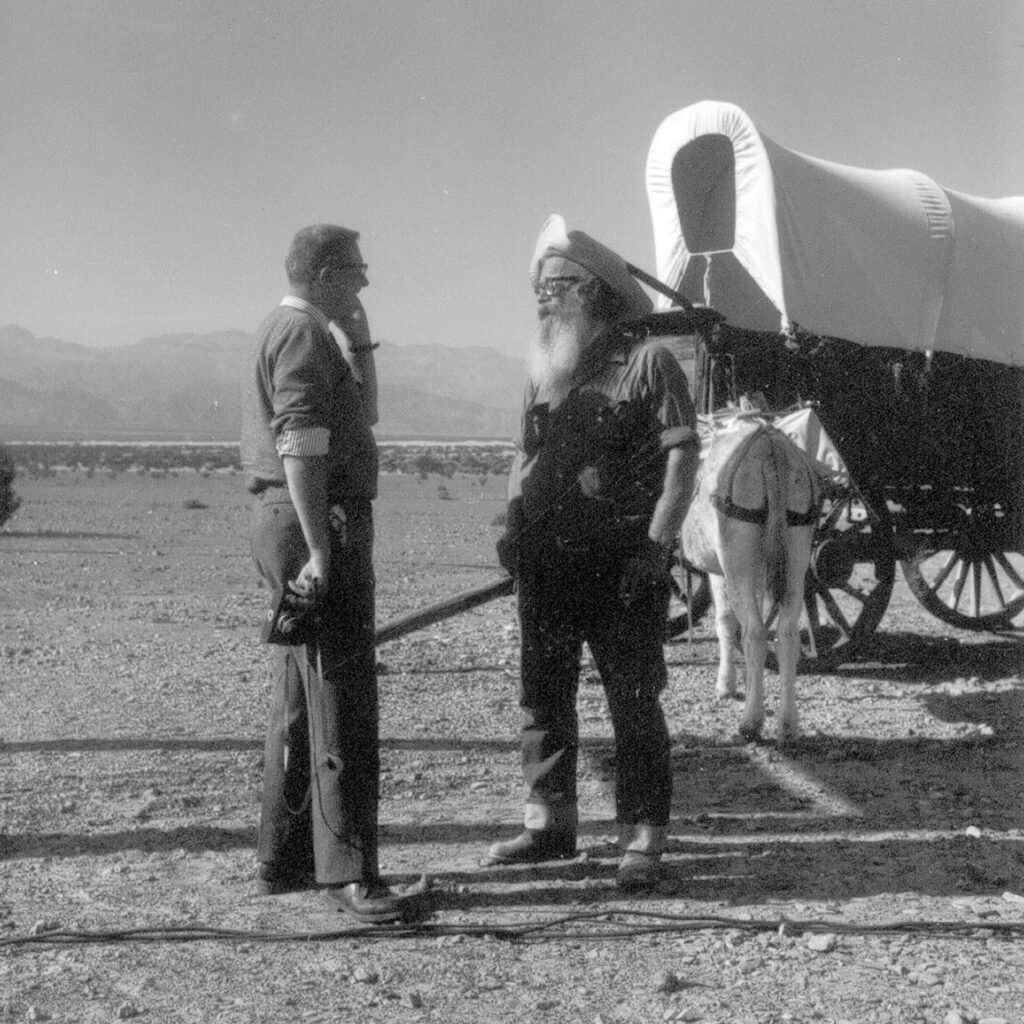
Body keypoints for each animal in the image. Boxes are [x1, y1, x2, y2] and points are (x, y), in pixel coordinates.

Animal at [679, 411, 823, 741]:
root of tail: (770, 446)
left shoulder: (722, 573)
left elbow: (725, 623)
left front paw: (727, 684)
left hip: (739, 564)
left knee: (755, 633)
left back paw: (751, 721)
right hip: (796, 556)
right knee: (786, 635)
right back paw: (788, 723)